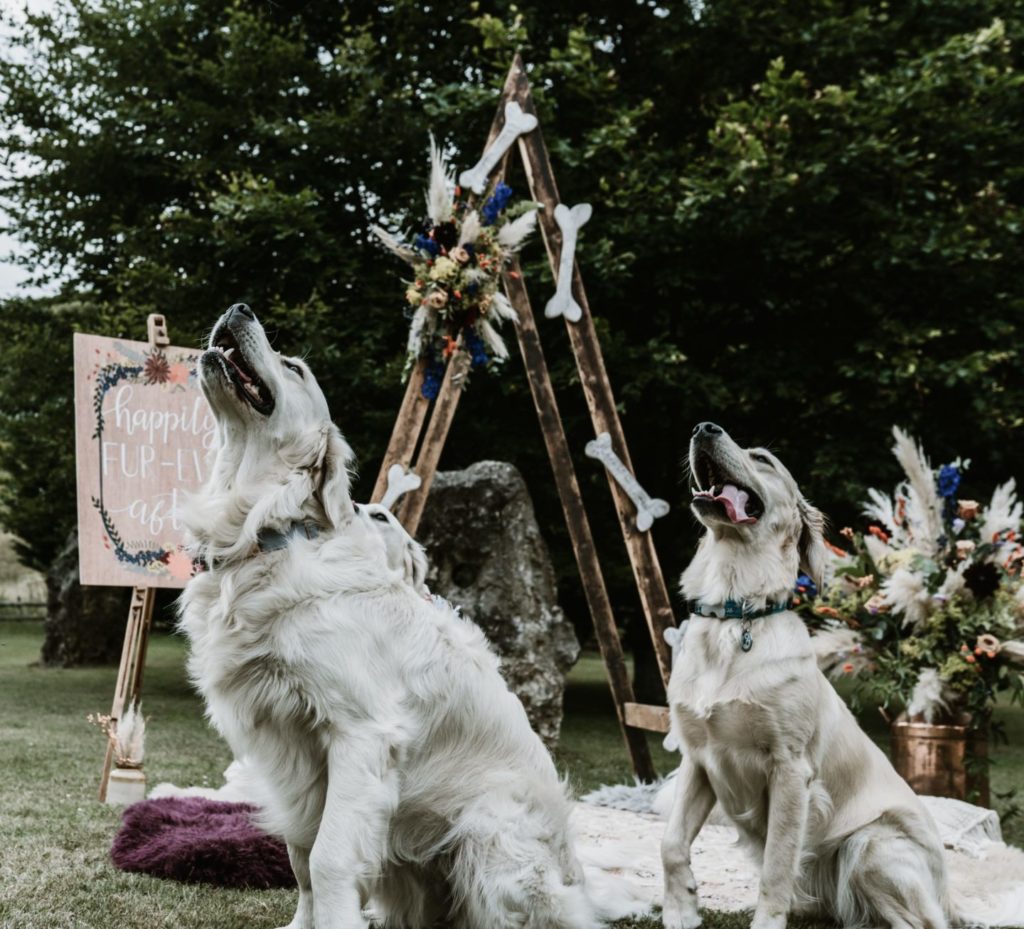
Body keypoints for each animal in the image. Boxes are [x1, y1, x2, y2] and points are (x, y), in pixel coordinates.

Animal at [177, 305, 626, 929]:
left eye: (293, 367)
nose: (238, 308)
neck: (264, 532)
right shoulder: (290, 749)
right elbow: (299, 855)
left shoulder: (359, 732)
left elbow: (327, 858)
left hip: (490, 835)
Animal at [659, 424, 946, 929]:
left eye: (762, 458)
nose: (703, 428)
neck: (736, 614)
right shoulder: (697, 758)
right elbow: (670, 842)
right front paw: (681, 910)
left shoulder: (791, 769)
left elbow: (776, 865)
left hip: (869, 844)